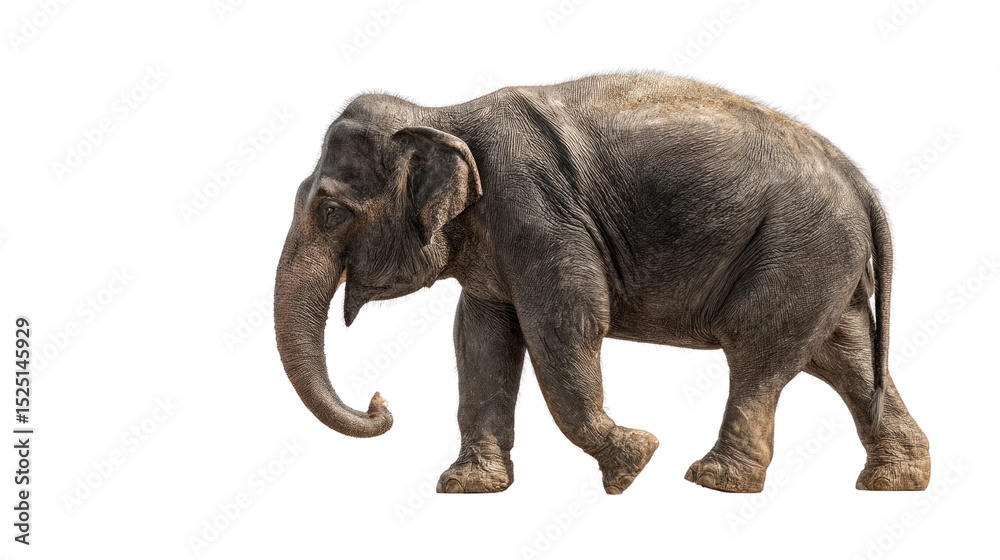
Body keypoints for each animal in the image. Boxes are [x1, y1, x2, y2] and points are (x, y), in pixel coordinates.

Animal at [273, 72, 930, 494]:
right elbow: (481, 338)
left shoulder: (539, 214)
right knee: (847, 357)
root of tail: (862, 183)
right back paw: (894, 481)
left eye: (330, 212)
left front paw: (634, 464)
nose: (380, 401)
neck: (441, 116)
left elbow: (565, 323)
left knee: (760, 355)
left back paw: (715, 481)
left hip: (798, 249)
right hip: (824, 263)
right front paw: (467, 488)